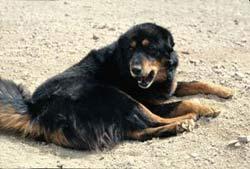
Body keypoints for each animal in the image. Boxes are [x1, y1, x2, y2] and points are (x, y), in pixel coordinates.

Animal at [0, 22, 232, 151]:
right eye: (131, 50)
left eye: (150, 49)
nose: (135, 70)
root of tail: (34, 109)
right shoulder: (152, 101)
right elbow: (183, 102)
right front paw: (207, 107)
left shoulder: (168, 86)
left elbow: (193, 83)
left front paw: (225, 90)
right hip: (116, 95)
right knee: (147, 121)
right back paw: (184, 122)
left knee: (138, 131)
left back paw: (177, 126)